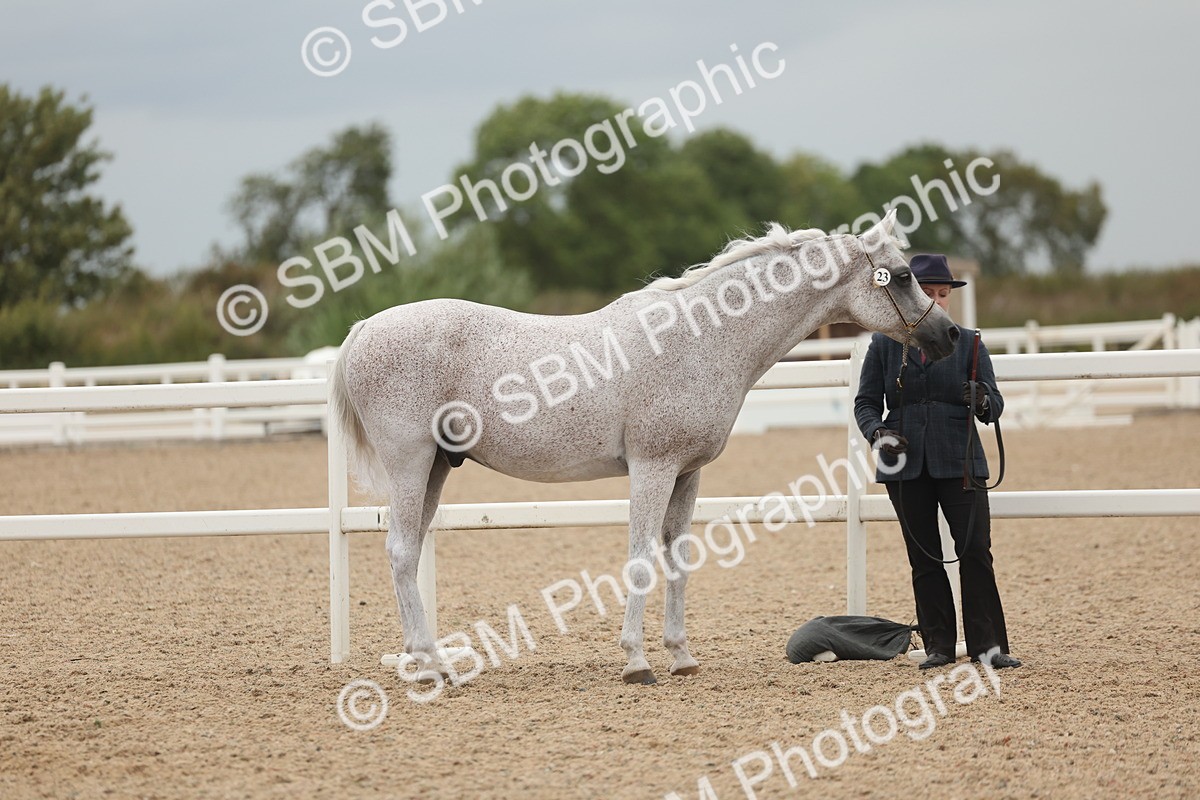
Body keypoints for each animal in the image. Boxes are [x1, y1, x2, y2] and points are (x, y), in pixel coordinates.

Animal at [330, 209, 958, 685]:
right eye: (902, 275)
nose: (949, 336)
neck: (700, 338)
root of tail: (361, 330)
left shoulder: (687, 474)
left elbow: (677, 558)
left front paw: (680, 655)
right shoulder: (652, 468)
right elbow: (638, 560)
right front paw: (636, 661)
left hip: (437, 467)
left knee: (409, 553)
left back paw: (430, 662)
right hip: (411, 464)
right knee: (401, 553)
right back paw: (429, 666)